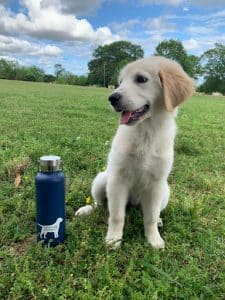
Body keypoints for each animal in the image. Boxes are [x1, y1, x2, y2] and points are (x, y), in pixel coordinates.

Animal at [76, 56, 193, 248]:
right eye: (120, 82)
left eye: (141, 79)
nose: (112, 98)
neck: (146, 131)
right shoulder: (118, 179)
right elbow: (116, 215)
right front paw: (113, 240)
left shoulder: (156, 183)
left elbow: (150, 217)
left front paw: (154, 239)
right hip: (102, 180)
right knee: (99, 203)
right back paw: (87, 209)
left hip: (165, 191)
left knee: (152, 212)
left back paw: (159, 221)